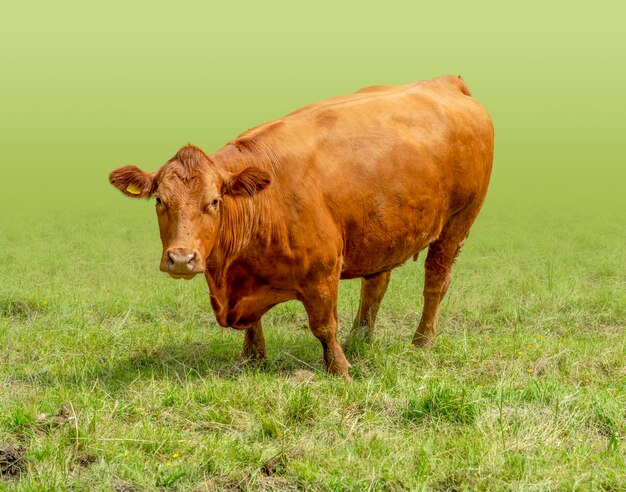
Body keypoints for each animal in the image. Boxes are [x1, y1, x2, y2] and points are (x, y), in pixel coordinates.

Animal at [109, 75, 494, 380]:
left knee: (436, 281)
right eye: (159, 201)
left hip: (459, 221)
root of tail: (445, 82)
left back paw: (421, 342)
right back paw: (360, 339)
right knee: (375, 286)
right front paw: (251, 360)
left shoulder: (321, 271)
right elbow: (253, 326)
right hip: (382, 231)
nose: (181, 258)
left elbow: (323, 326)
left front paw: (340, 370)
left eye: (215, 201)